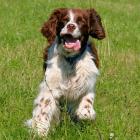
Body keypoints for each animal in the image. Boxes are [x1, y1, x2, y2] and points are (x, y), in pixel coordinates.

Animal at [26, 7, 105, 137]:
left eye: (81, 21)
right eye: (65, 20)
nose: (71, 26)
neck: (70, 59)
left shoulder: (88, 82)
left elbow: (87, 105)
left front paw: (85, 113)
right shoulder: (49, 87)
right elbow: (43, 109)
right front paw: (40, 132)